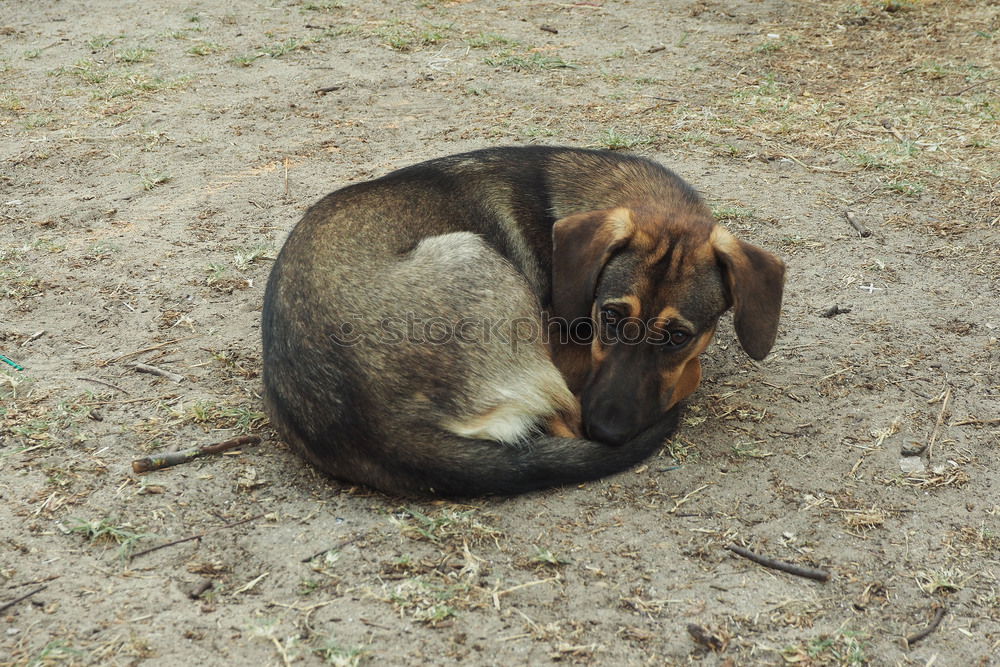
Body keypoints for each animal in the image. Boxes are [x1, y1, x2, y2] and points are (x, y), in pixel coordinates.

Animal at [262, 147, 784, 500]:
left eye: (677, 335)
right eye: (609, 316)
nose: (607, 431)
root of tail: (383, 433)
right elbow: (690, 372)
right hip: (475, 256)